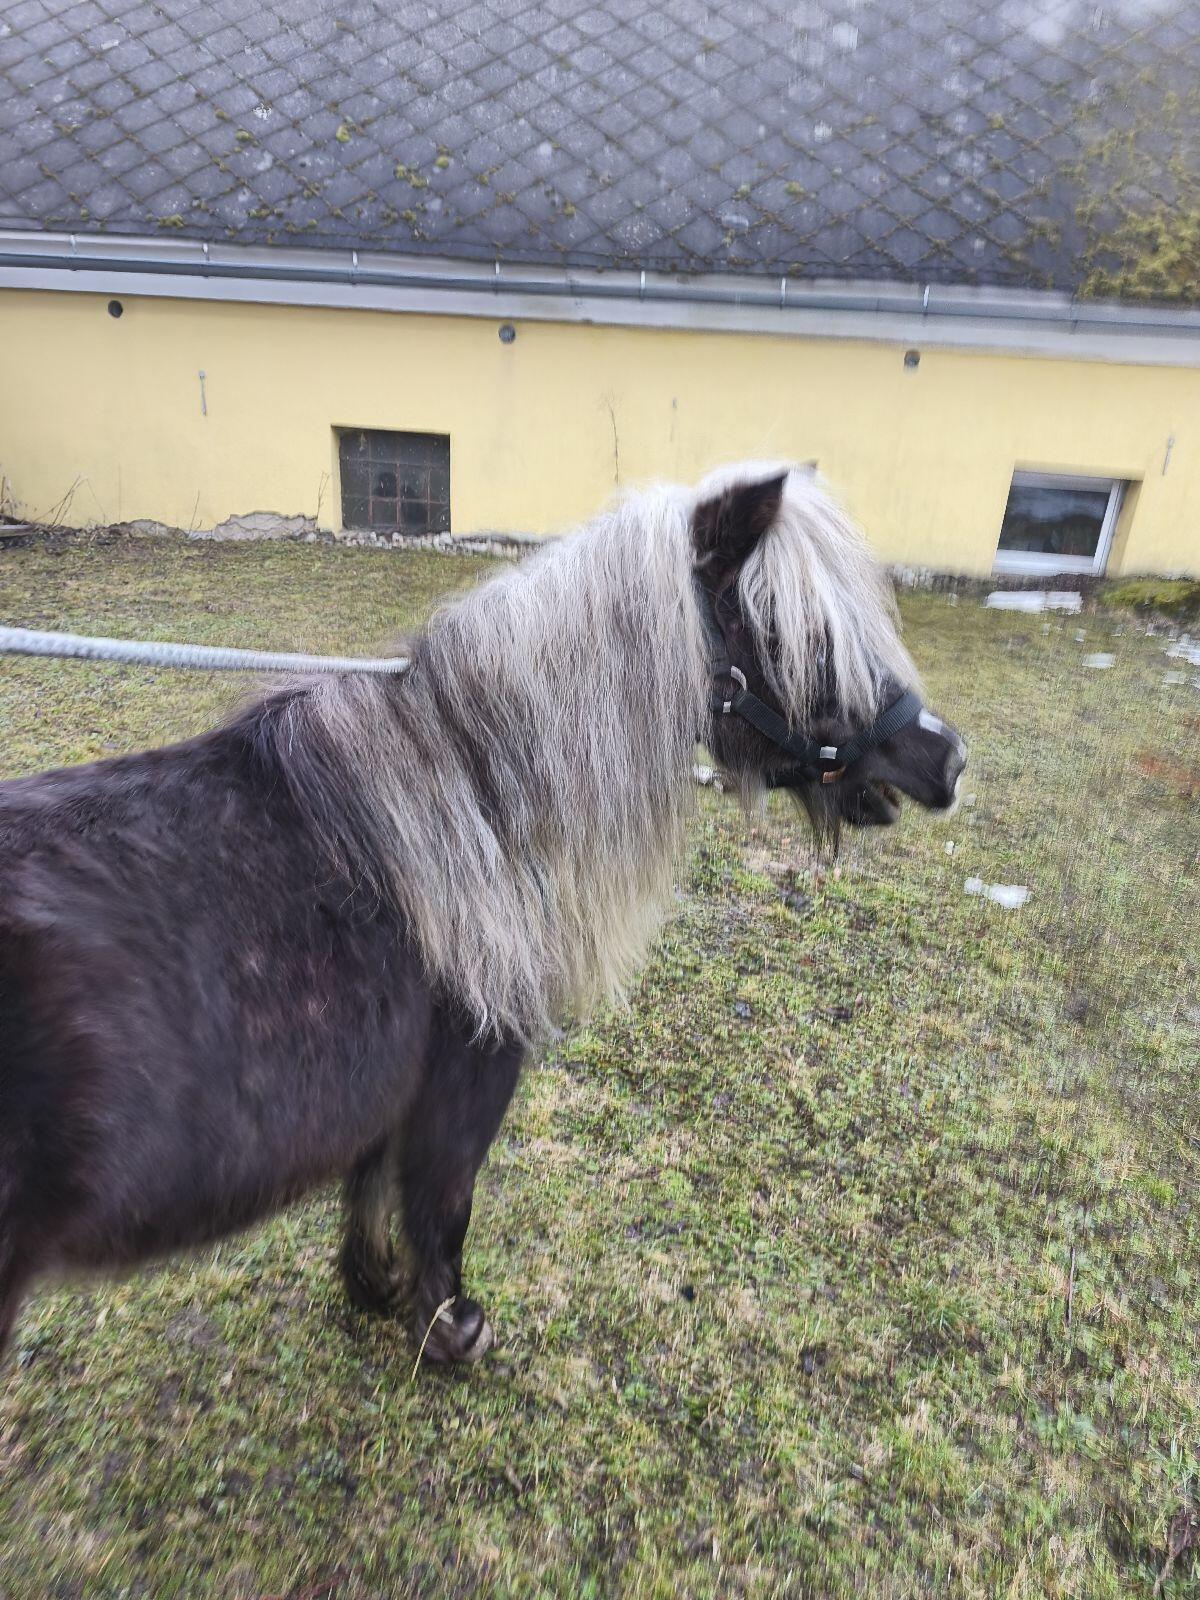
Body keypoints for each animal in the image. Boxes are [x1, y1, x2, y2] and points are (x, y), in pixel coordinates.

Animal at [0, 463, 965, 1368]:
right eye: (792, 633)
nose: (947, 760)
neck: (473, 794)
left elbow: (370, 1186)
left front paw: (374, 1288)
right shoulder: (468, 1074)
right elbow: (443, 1202)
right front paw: (450, 1328)